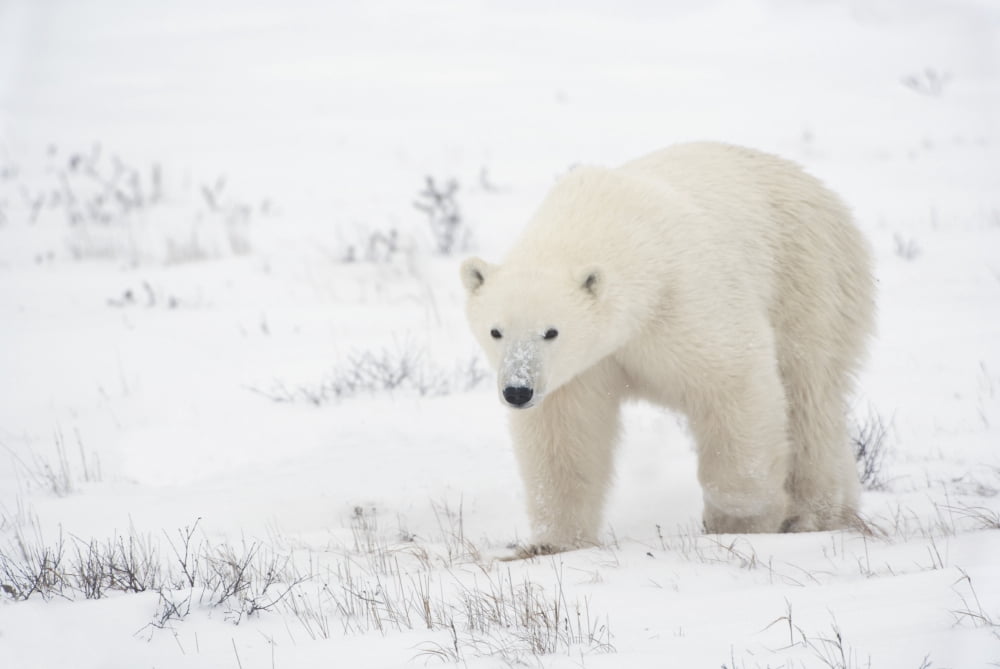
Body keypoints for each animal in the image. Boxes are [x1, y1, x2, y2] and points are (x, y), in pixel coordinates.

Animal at [460, 142, 875, 554]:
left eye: (551, 332)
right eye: (496, 331)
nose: (517, 391)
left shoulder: (686, 303)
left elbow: (735, 385)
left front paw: (739, 518)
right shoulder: (581, 369)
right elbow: (564, 435)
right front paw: (554, 542)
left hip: (809, 280)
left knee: (809, 399)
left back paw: (812, 515)